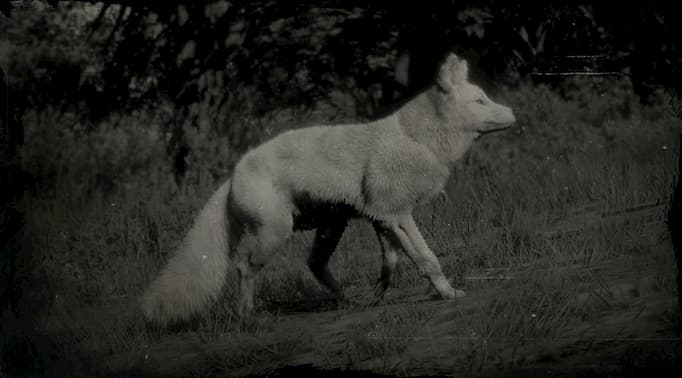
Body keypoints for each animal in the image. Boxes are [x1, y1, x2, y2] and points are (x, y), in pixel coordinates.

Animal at [141, 52, 512, 324]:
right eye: (480, 101)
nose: (513, 112)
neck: (417, 139)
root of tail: (231, 177)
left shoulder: (382, 219)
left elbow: (391, 262)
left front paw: (379, 294)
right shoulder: (398, 215)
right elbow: (427, 258)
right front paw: (447, 294)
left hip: (331, 226)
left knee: (314, 264)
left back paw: (347, 298)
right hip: (276, 232)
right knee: (244, 267)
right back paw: (249, 318)